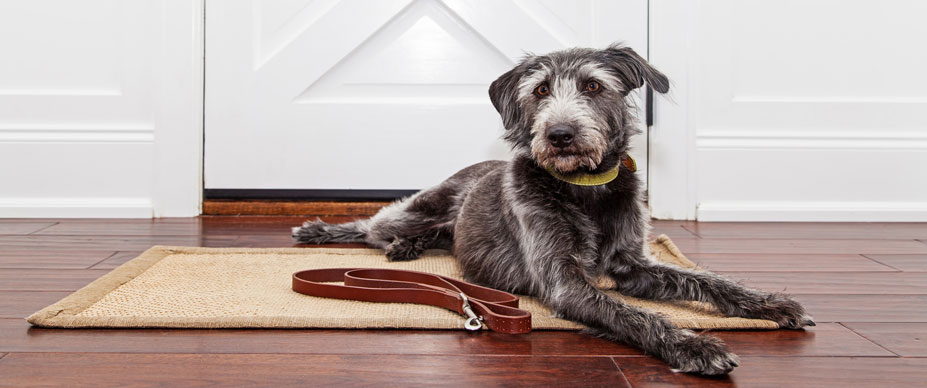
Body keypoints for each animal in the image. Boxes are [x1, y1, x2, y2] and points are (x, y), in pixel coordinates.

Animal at [294, 44, 816, 374]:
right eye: (541, 90)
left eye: (593, 86)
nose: (560, 134)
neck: (584, 188)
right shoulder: (566, 281)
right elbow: (637, 316)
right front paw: (696, 345)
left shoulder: (633, 264)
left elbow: (706, 280)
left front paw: (769, 304)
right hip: (418, 207)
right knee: (373, 224)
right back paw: (326, 232)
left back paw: (408, 248)